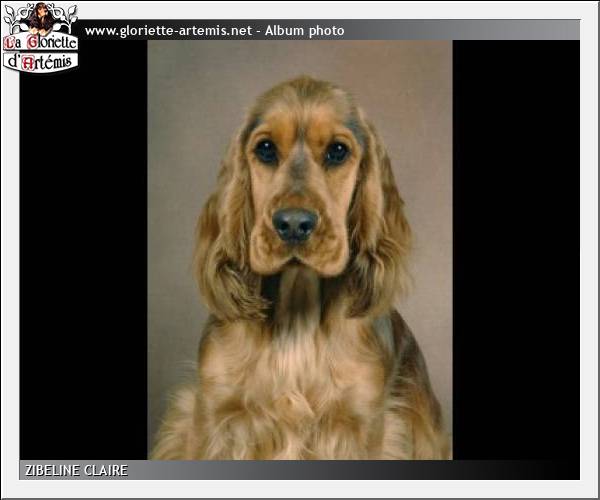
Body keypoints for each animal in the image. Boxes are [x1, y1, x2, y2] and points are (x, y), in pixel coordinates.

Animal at [152, 76, 450, 460]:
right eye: (265, 149)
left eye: (338, 151)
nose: (293, 224)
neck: (298, 312)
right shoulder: (214, 415)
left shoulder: (364, 424)